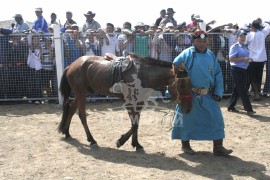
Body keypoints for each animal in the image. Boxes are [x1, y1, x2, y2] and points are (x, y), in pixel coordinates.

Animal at [57, 52, 192, 151]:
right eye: (182, 85)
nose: (188, 108)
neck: (142, 73)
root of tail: (72, 65)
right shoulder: (129, 102)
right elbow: (134, 124)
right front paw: (121, 141)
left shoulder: (139, 102)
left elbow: (136, 123)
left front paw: (136, 144)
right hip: (81, 93)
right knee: (82, 115)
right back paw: (91, 139)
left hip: (82, 92)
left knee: (71, 109)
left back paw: (67, 132)